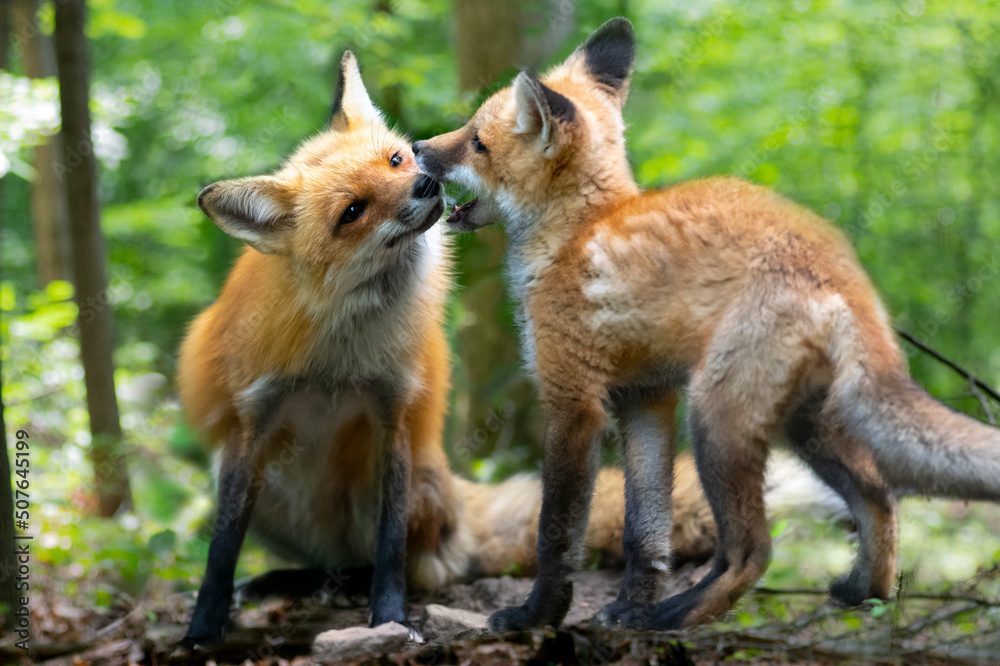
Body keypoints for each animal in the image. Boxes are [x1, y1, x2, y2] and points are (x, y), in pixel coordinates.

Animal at [176, 50, 723, 647]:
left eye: (394, 160)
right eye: (352, 211)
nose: (422, 184)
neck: (339, 358)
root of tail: (461, 506)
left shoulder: (392, 413)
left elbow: (391, 548)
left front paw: (389, 618)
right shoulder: (252, 421)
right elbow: (222, 547)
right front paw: (202, 628)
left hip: (394, 484)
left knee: (406, 566)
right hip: (251, 477)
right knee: (332, 562)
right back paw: (292, 582)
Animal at [413, 17, 1000, 633]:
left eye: (477, 142)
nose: (417, 149)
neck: (577, 232)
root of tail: (836, 262)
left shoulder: (573, 399)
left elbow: (557, 532)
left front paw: (538, 615)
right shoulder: (646, 398)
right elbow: (645, 532)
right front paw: (627, 606)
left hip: (718, 419)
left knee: (754, 550)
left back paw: (674, 616)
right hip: (805, 424)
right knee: (879, 499)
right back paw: (863, 596)